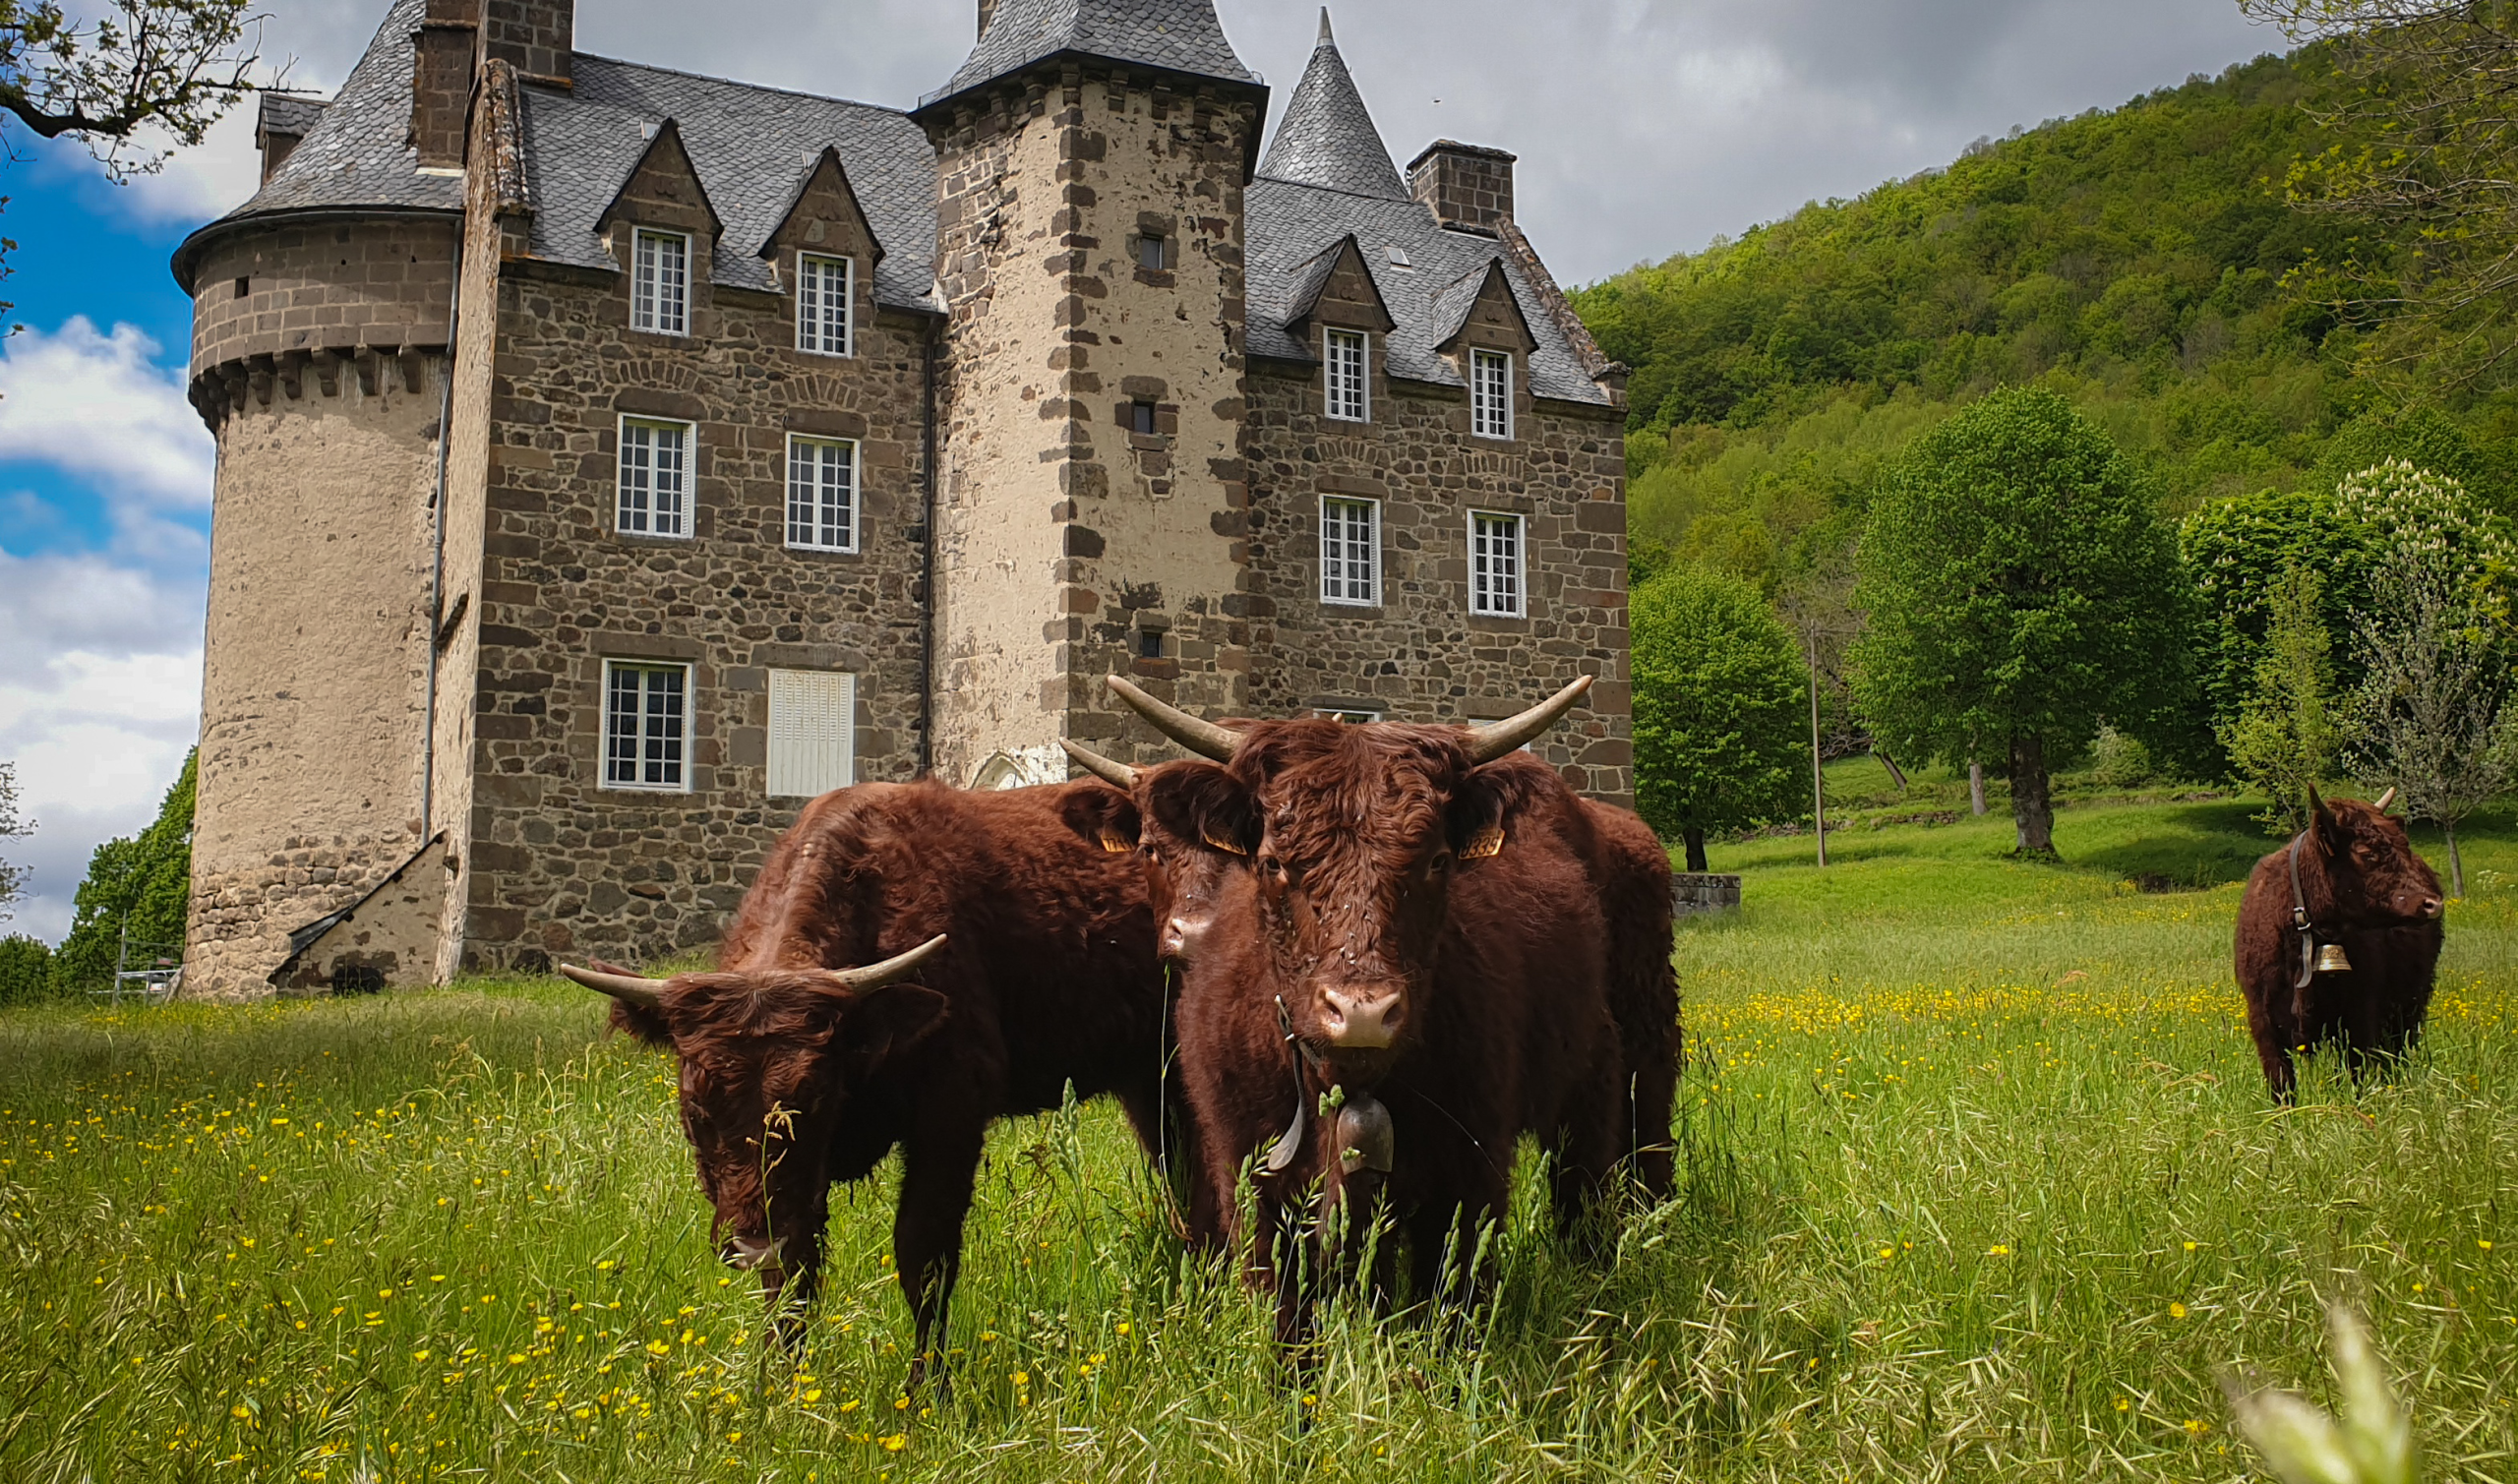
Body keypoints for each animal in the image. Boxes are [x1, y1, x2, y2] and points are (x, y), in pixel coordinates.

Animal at [556, 778, 1191, 1385]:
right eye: (695, 1110)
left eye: (814, 1098)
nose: (753, 1245)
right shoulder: (795, 1192)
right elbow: (793, 1277)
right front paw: (778, 1387)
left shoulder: (950, 1113)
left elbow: (923, 1255)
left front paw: (927, 1391)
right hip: (1148, 1081)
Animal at [1072, 675, 1676, 1354]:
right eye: (1274, 861)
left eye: (1436, 860)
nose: (1361, 1013)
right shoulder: (1249, 1175)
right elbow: (1287, 1317)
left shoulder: (1469, 1169)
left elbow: (1452, 1303)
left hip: (1629, 1052)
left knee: (1616, 1163)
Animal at [2234, 787, 2446, 1102]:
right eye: (2367, 853)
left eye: (2404, 845)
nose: (2432, 903)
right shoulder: (2263, 1022)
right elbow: (2282, 1087)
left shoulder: (2360, 1017)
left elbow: (2357, 1073)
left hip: (2409, 1008)